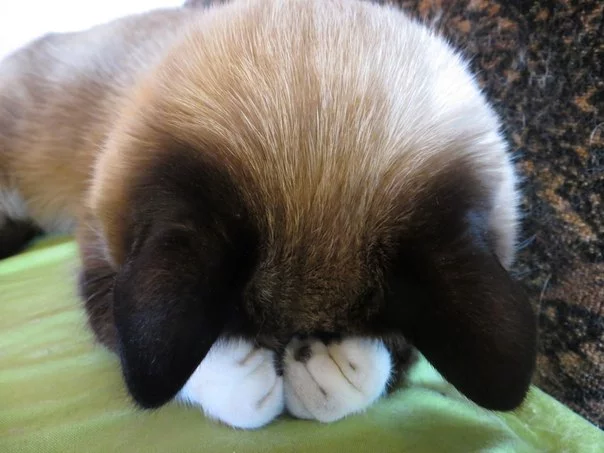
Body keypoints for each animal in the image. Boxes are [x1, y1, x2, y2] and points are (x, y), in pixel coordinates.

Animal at [0, 0, 537, 429]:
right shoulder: (105, 263)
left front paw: (330, 373)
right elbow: (143, 349)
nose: (289, 354)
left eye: (337, 331)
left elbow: (392, 368)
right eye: (239, 331)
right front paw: (251, 382)